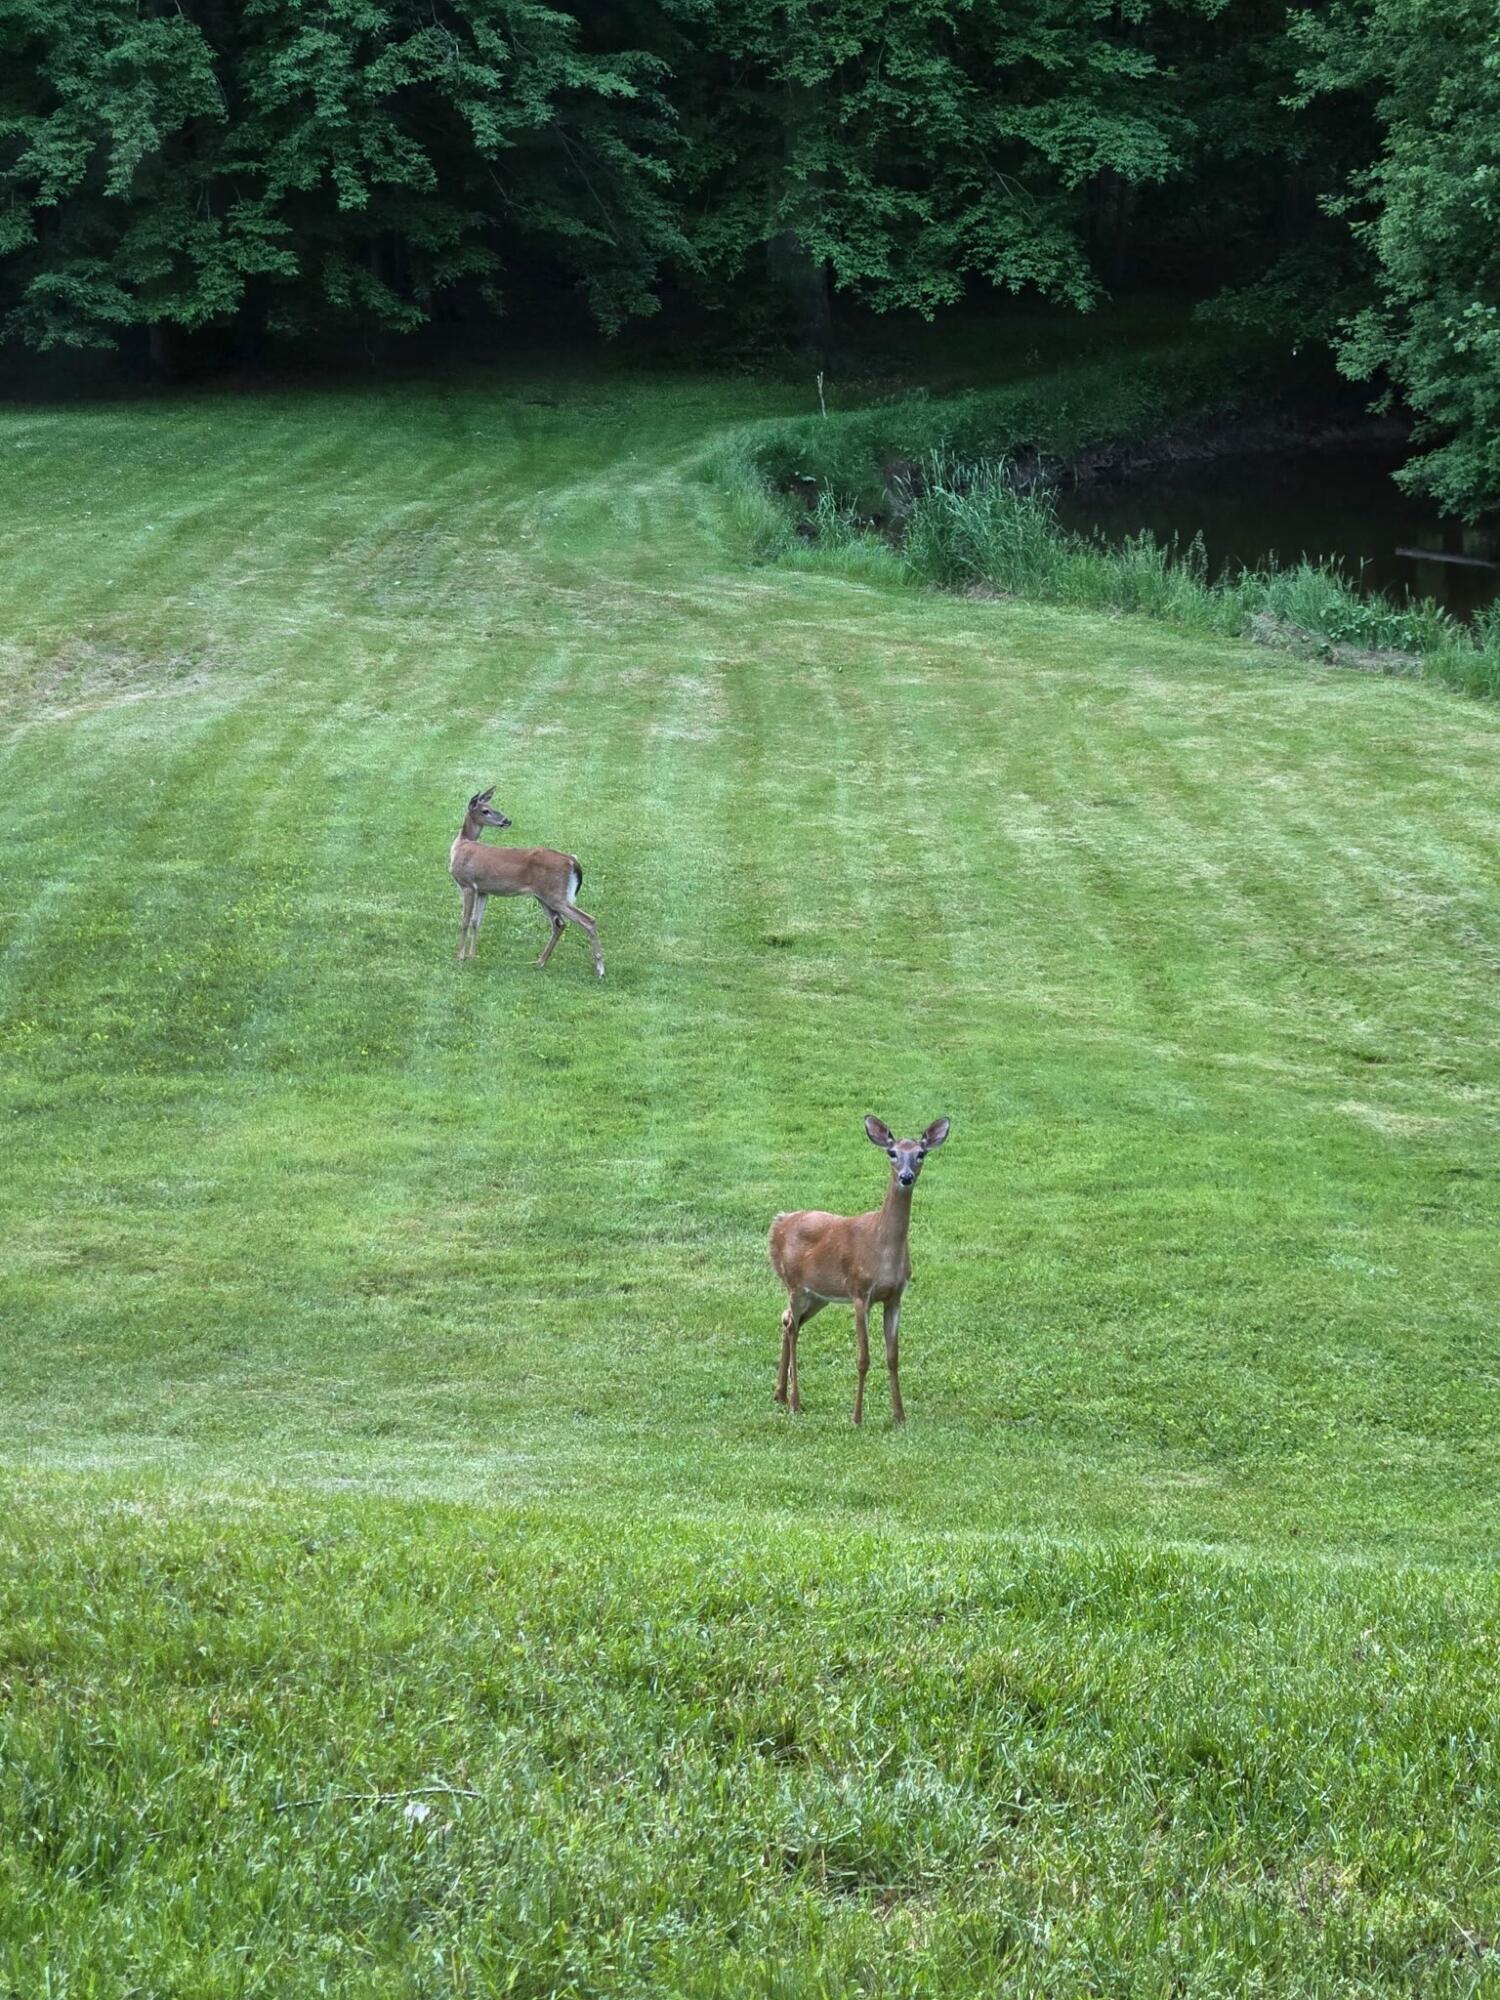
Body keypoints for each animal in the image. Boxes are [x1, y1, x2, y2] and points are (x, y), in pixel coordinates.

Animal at [449, 787, 604, 977]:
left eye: (490, 807)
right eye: (486, 810)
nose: (506, 820)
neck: (461, 844)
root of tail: (573, 861)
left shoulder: (467, 884)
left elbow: (464, 921)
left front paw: (460, 957)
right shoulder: (483, 890)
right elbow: (475, 922)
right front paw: (472, 956)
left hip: (555, 895)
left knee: (588, 920)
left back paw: (600, 969)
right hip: (545, 896)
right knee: (559, 923)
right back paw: (540, 961)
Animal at [770, 1115, 951, 1426]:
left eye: (921, 1153)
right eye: (892, 1152)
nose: (906, 1177)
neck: (882, 1249)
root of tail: (778, 1224)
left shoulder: (895, 1296)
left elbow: (893, 1357)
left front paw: (900, 1416)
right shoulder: (859, 1291)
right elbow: (863, 1358)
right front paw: (856, 1417)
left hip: (818, 1295)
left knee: (787, 1320)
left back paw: (780, 1394)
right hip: (794, 1284)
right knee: (792, 1327)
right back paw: (794, 1401)